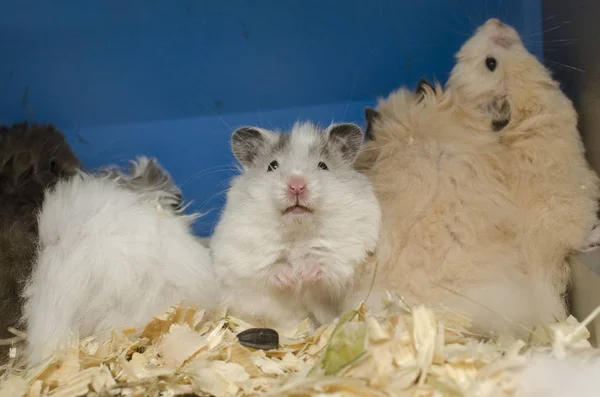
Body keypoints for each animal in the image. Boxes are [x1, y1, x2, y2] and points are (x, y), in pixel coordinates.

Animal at [211, 120, 380, 328]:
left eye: (323, 165)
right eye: (272, 165)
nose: (297, 186)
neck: (298, 231)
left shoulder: (349, 250)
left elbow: (328, 261)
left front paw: (304, 274)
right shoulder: (246, 254)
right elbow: (268, 268)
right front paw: (291, 278)